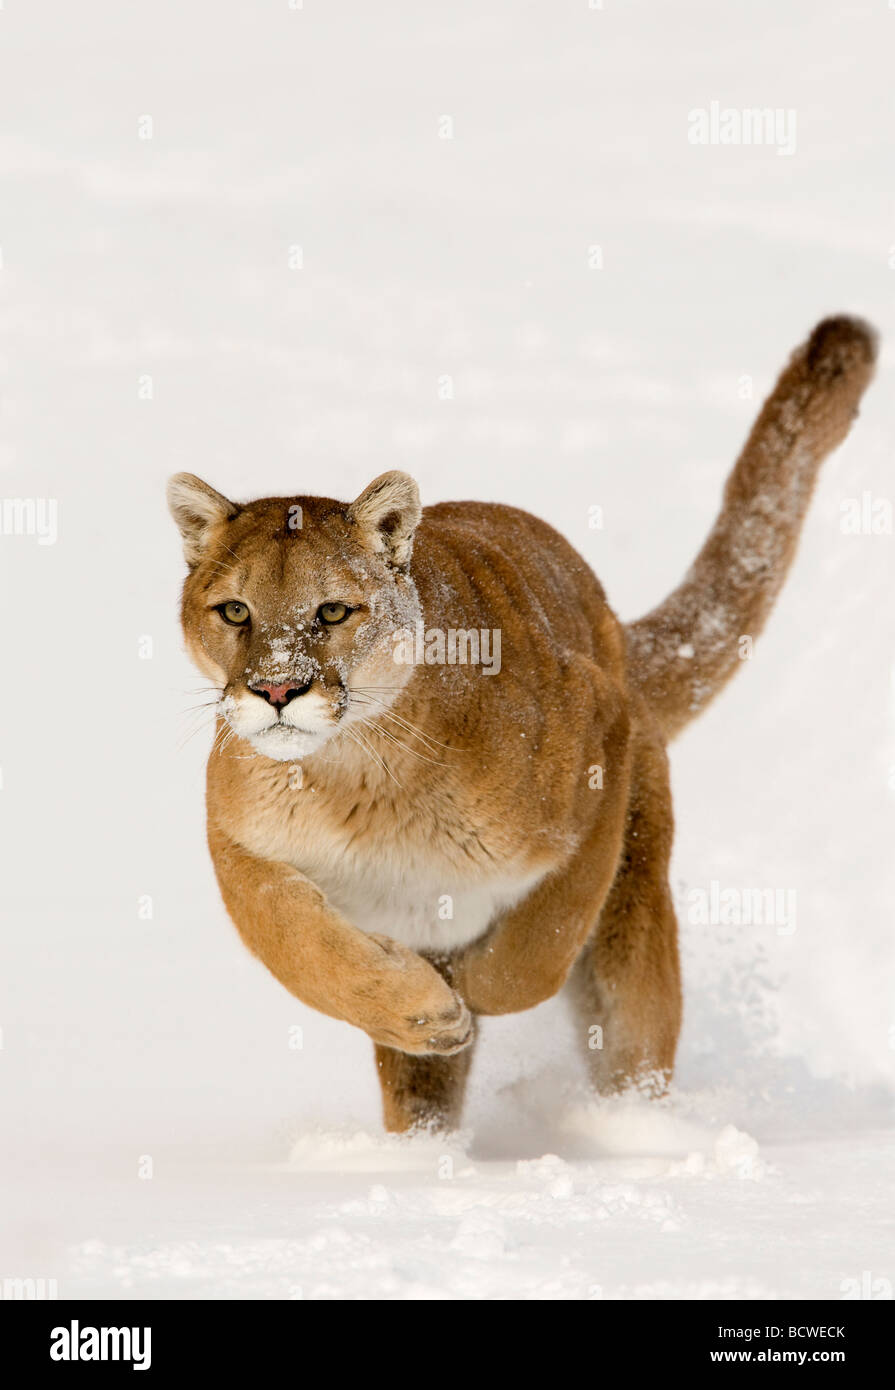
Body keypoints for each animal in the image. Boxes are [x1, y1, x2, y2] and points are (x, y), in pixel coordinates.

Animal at [168, 316, 877, 1133]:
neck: (356, 775)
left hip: (634, 912)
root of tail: (614, 626)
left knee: (631, 1032)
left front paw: (471, 991)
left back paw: (630, 1131)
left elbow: (543, 941)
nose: (276, 688)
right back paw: (424, 1146)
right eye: (235, 611)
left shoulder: (598, 754)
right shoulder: (237, 836)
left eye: (333, 611)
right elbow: (293, 941)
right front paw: (424, 1012)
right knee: (422, 1093)